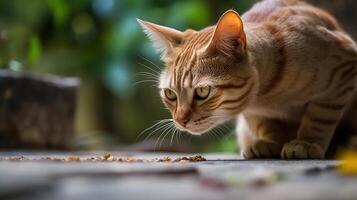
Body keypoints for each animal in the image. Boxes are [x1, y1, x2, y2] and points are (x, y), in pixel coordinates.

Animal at [137, 0, 356, 159]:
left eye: (202, 92)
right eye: (170, 94)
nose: (180, 121)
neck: (267, 98)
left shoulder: (344, 71)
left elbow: (319, 118)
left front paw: (307, 142)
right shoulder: (253, 113)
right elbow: (264, 124)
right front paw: (270, 142)